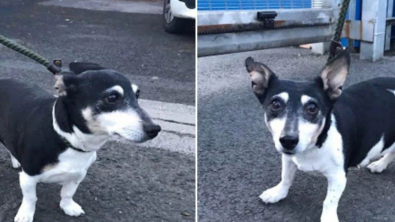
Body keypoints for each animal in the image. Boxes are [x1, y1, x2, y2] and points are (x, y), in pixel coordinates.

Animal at [0, 62, 162, 222]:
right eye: (112, 97)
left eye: (137, 94)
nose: (155, 129)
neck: (68, 139)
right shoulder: (28, 177)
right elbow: (31, 198)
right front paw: (26, 214)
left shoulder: (78, 174)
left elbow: (67, 193)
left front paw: (68, 207)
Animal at [244, 50, 395, 222]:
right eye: (275, 104)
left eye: (312, 107)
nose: (288, 141)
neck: (316, 143)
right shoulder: (288, 159)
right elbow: (286, 178)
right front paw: (278, 193)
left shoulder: (338, 177)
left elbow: (329, 201)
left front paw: (328, 217)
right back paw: (380, 164)